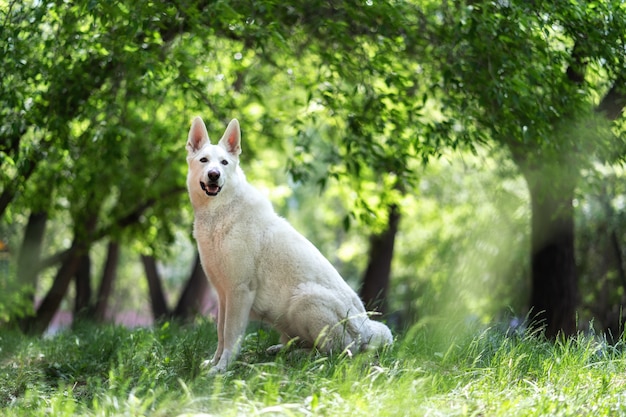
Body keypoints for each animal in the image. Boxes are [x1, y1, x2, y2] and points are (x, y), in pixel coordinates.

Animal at [185, 116, 392, 370]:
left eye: (224, 163)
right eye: (204, 160)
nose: (214, 174)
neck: (220, 213)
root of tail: (367, 333)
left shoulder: (239, 291)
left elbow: (231, 335)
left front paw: (223, 369)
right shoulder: (223, 295)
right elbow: (221, 333)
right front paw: (213, 364)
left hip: (305, 299)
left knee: (335, 354)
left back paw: (299, 357)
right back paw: (281, 350)